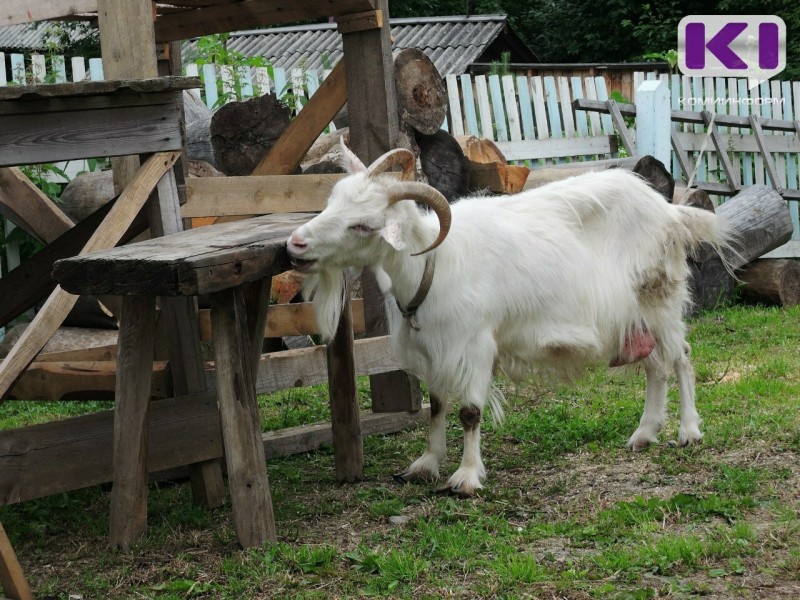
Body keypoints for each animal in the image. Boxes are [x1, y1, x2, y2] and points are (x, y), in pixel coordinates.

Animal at [288, 142, 732, 496]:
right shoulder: (433, 349)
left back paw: (688, 432)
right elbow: (436, 407)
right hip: (635, 315)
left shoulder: (474, 345)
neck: (431, 263)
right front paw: (425, 465)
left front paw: (466, 478)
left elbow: (469, 413)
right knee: (655, 365)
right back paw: (644, 434)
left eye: (362, 226)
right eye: (332, 201)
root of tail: (670, 211)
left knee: (681, 356)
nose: (295, 244)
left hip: (660, 297)